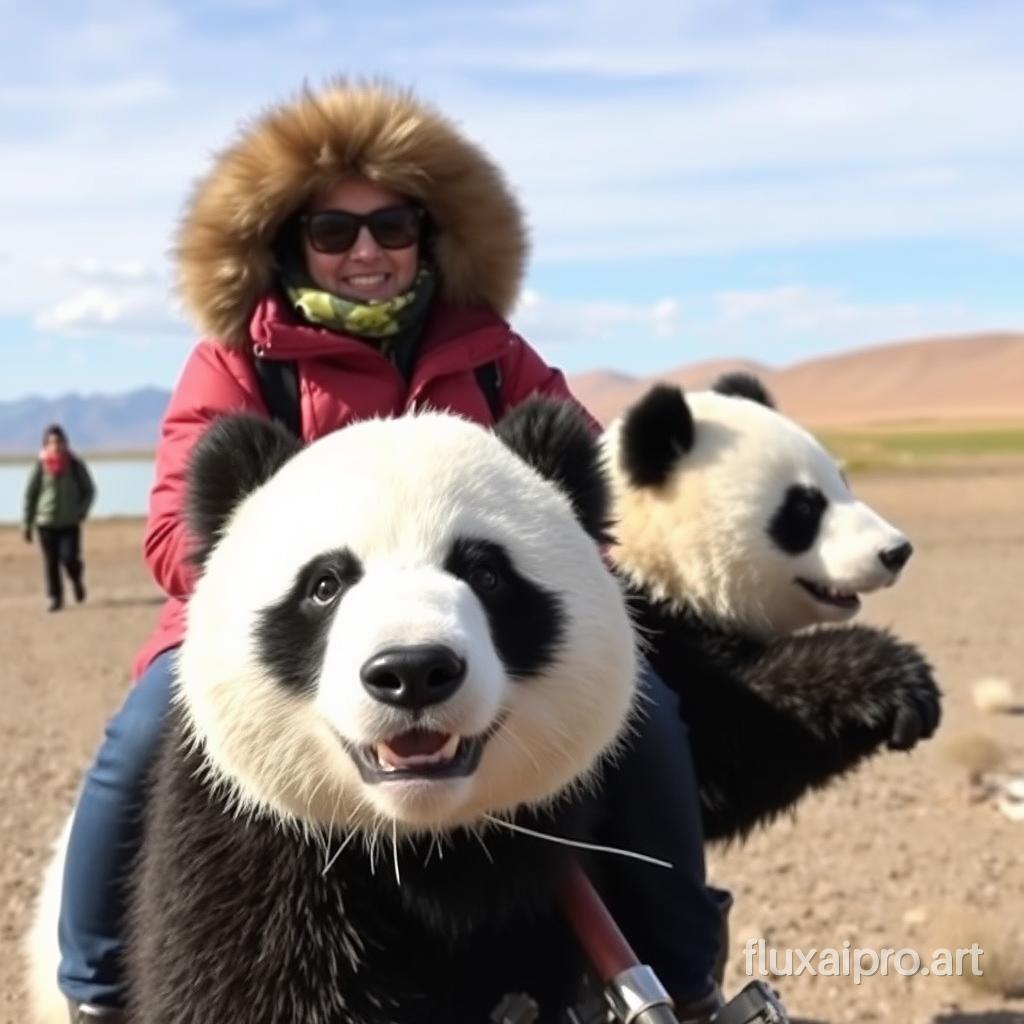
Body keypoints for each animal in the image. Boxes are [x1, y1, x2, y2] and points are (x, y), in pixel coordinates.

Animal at [598, 376, 942, 839]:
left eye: (843, 483)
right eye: (804, 507)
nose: (896, 552)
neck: (649, 565)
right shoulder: (636, 639)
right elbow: (726, 748)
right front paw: (898, 681)